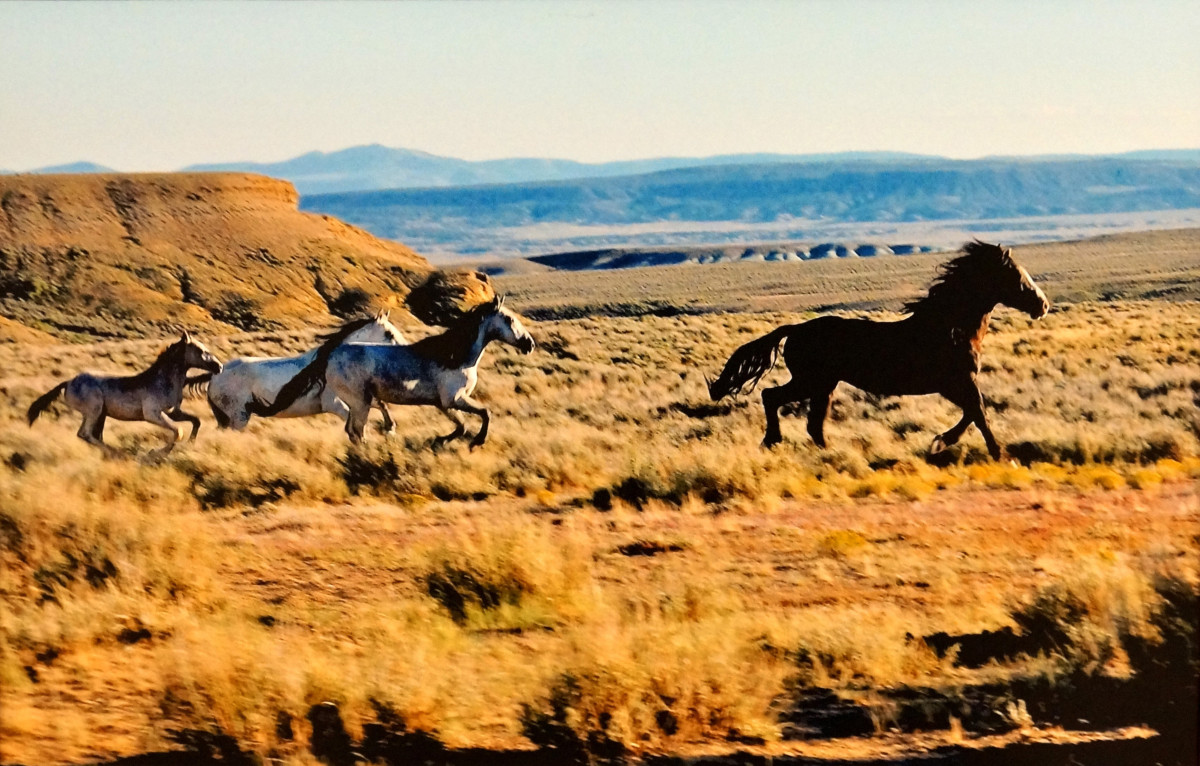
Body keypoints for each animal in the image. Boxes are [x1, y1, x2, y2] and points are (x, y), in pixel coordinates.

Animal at [28, 333, 224, 458]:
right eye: (200, 350)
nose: (219, 366)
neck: (162, 381)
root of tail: (68, 382)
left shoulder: (173, 412)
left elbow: (195, 421)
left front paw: (191, 443)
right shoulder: (152, 414)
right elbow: (178, 431)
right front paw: (156, 453)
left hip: (100, 414)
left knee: (90, 435)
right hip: (94, 410)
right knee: (85, 433)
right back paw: (117, 453)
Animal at [189, 312, 405, 432]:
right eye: (389, 333)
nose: (406, 348)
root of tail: (216, 374)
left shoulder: (360, 398)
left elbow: (381, 404)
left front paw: (390, 428)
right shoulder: (336, 404)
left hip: (225, 419)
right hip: (238, 417)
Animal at [248, 295, 535, 451]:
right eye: (509, 319)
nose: (529, 344)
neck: (455, 356)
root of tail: (330, 354)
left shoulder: (443, 404)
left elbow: (461, 426)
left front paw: (437, 441)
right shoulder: (455, 399)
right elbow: (485, 413)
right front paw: (476, 442)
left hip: (359, 402)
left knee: (352, 430)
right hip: (359, 402)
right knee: (356, 431)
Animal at [705, 242, 1046, 458]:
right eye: (1016, 276)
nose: (1042, 305)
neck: (951, 328)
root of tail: (795, 329)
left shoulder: (954, 385)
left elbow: (972, 413)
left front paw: (941, 442)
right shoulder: (957, 382)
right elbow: (979, 413)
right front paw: (992, 453)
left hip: (824, 385)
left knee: (812, 423)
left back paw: (827, 453)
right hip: (811, 381)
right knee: (771, 396)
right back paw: (774, 441)